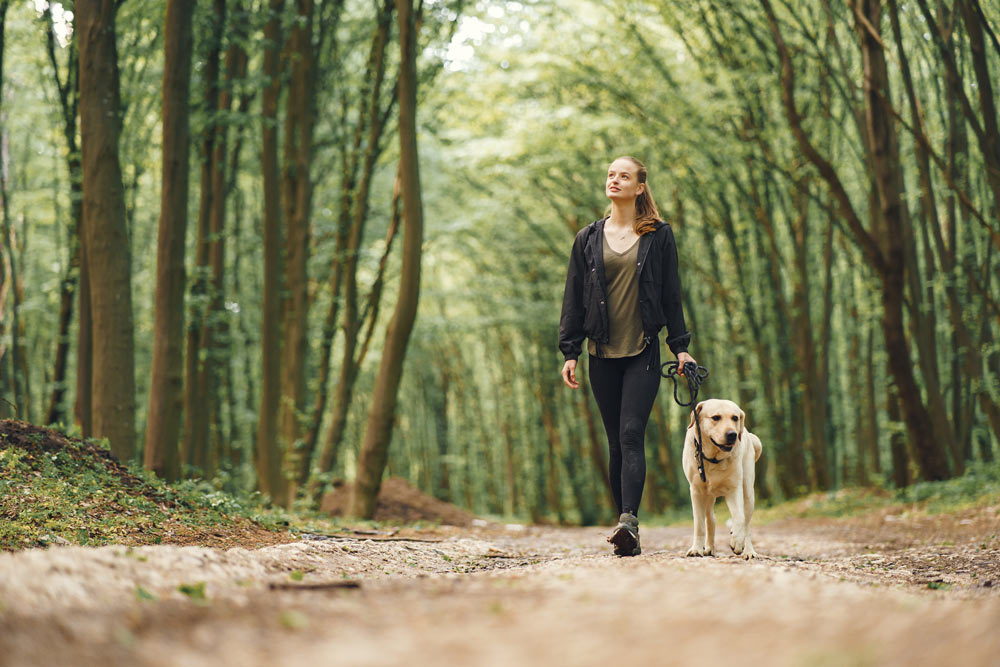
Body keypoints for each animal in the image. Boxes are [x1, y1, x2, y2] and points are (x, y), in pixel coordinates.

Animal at [680, 400, 764, 560]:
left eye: (735, 418)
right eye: (716, 417)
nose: (732, 434)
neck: (713, 459)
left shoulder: (734, 489)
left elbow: (740, 518)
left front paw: (737, 541)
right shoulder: (696, 491)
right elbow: (699, 525)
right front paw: (696, 549)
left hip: (748, 492)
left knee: (747, 523)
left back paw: (749, 550)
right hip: (707, 496)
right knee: (710, 519)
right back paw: (709, 548)